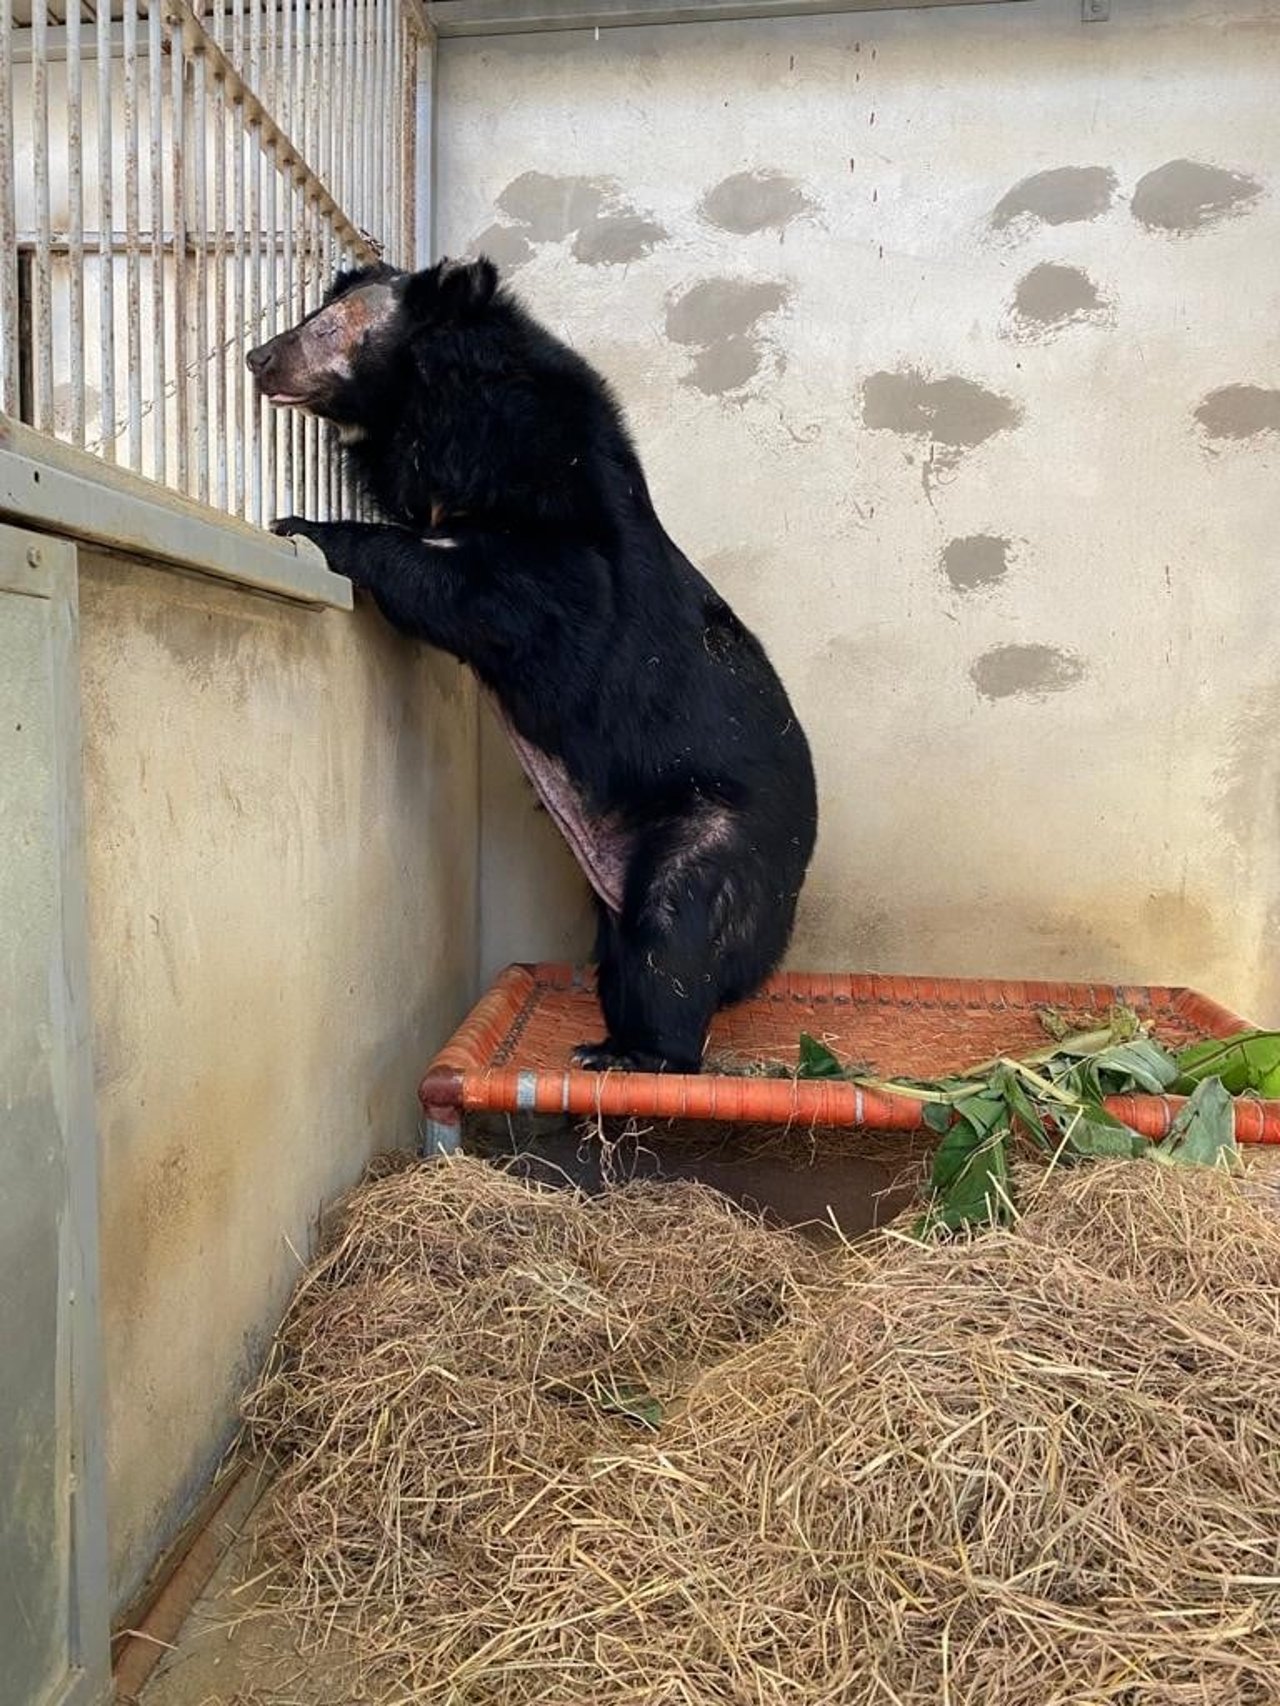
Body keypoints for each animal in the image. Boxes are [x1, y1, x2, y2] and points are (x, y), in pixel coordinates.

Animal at [245, 259, 815, 1071]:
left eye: (328, 329)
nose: (258, 358)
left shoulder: (571, 553)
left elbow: (509, 598)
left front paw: (305, 527)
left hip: (716, 831)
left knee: (673, 933)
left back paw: (632, 1054)